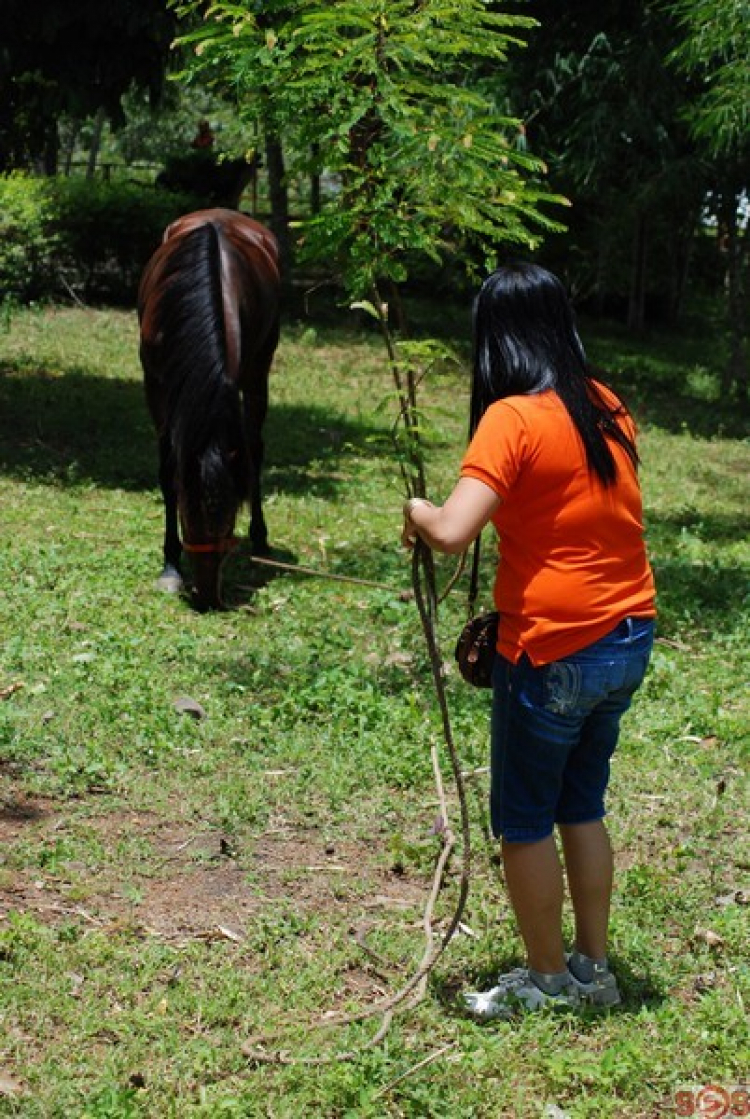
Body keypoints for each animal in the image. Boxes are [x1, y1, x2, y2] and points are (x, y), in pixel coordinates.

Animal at [138, 210, 282, 613]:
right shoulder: (156, 386)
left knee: (256, 448)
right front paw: (171, 567)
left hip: (260, 369)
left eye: (229, 516)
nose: (207, 597)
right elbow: (166, 470)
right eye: (189, 512)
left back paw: (261, 538)